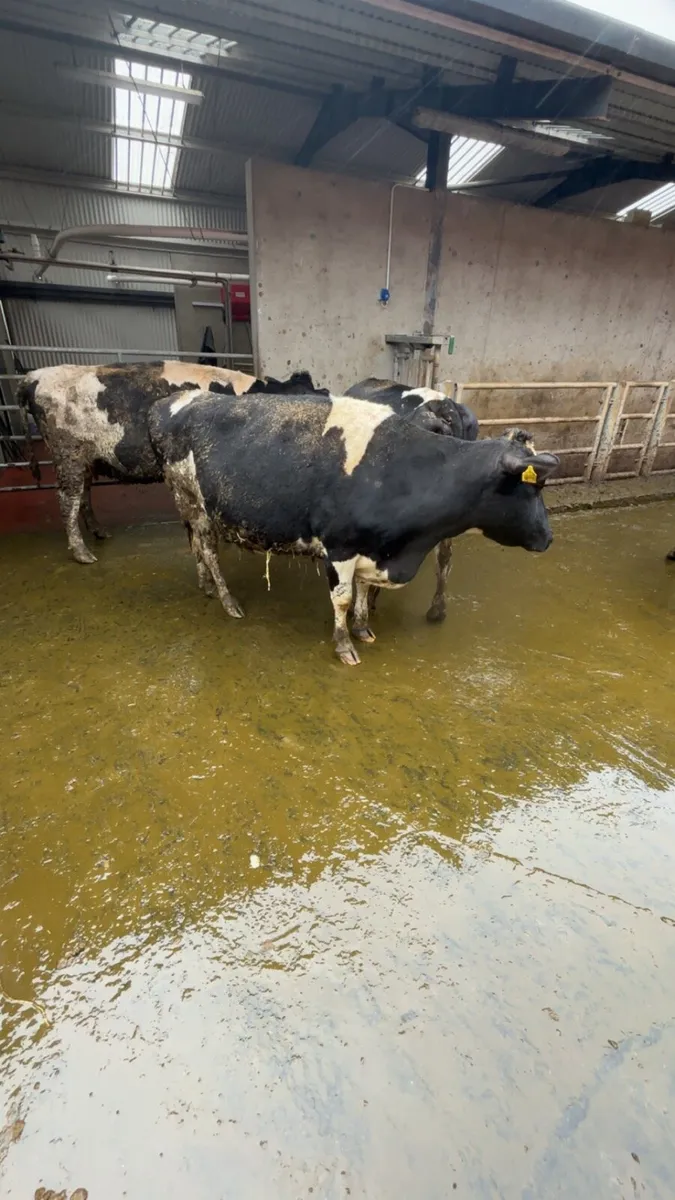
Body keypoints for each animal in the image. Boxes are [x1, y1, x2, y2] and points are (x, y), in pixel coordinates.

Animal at [16, 361, 324, 564]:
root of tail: (33, 376)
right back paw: (83, 554)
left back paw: (100, 532)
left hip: (84, 460)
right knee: (67, 501)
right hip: (68, 453)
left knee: (83, 495)